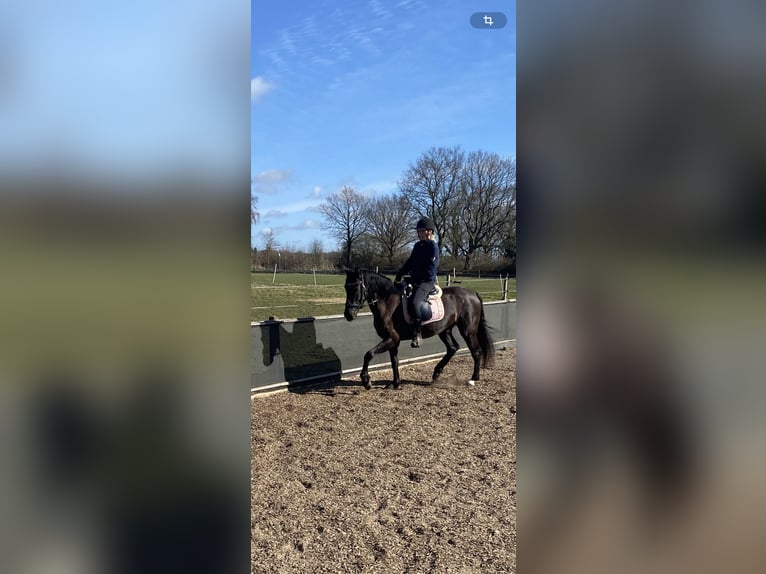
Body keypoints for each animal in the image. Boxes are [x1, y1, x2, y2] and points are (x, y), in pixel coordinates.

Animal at [343, 268, 495, 389]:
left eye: (355, 288)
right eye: (345, 287)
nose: (348, 315)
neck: (387, 302)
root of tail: (473, 293)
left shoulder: (391, 338)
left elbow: (369, 354)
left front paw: (366, 381)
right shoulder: (393, 340)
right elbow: (394, 361)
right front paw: (396, 383)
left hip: (468, 330)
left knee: (476, 351)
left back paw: (473, 379)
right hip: (444, 330)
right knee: (453, 348)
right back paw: (436, 373)